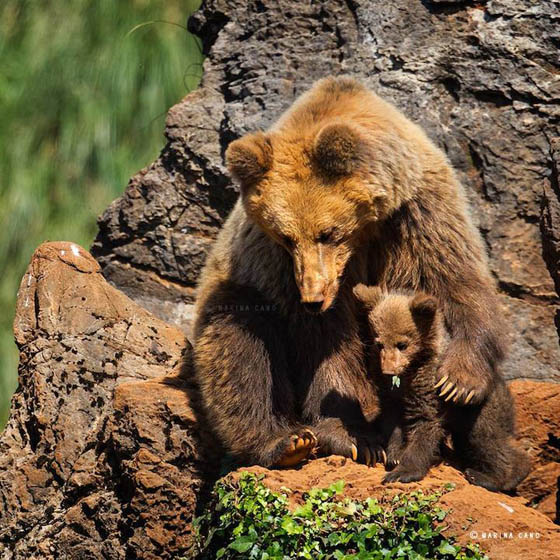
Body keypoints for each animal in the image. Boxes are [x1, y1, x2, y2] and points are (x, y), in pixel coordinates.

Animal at [191, 75, 504, 468]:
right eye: (285, 237)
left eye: (327, 232)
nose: (312, 297)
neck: (364, 232)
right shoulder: (281, 269)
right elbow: (327, 344)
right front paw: (355, 439)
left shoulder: (418, 212)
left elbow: (455, 277)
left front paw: (458, 381)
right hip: (239, 291)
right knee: (238, 343)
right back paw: (285, 442)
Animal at [352, 284, 532, 490]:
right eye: (379, 343)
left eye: (402, 344)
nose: (388, 370)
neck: (412, 368)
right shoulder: (389, 393)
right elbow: (392, 421)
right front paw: (394, 455)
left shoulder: (431, 384)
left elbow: (426, 423)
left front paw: (402, 472)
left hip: (480, 409)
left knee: (487, 439)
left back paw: (488, 477)